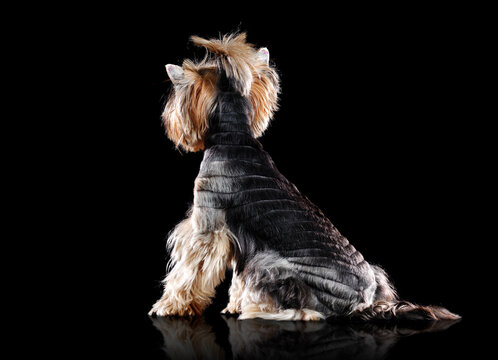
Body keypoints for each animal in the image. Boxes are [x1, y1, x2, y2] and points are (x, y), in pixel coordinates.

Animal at [147, 32, 460, 322]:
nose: (169, 118)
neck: (233, 134)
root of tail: (362, 304)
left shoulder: (207, 226)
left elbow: (189, 273)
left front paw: (169, 306)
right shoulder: (236, 238)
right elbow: (234, 276)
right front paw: (231, 304)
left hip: (271, 264)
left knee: (302, 309)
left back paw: (261, 311)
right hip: (374, 274)